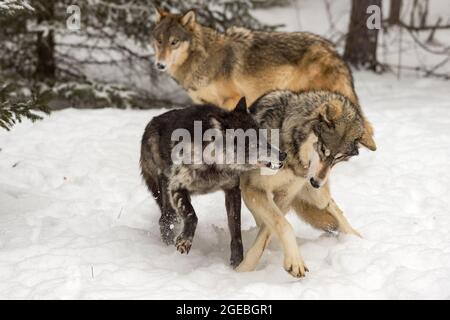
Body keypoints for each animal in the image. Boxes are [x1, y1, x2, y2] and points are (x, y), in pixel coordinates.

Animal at [142, 98, 284, 268]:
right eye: (253, 143)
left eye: (263, 137)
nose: (283, 155)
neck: (214, 163)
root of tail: (151, 122)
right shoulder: (177, 187)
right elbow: (192, 215)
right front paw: (185, 241)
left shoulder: (232, 190)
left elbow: (236, 230)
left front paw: (236, 262)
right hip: (167, 198)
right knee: (165, 221)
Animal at [236, 90, 376, 278]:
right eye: (323, 150)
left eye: (337, 159)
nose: (315, 182)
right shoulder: (253, 189)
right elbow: (283, 225)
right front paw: (243, 271)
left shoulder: (285, 197)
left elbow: (268, 232)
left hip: (315, 196)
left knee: (331, 205)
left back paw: (355, 238)